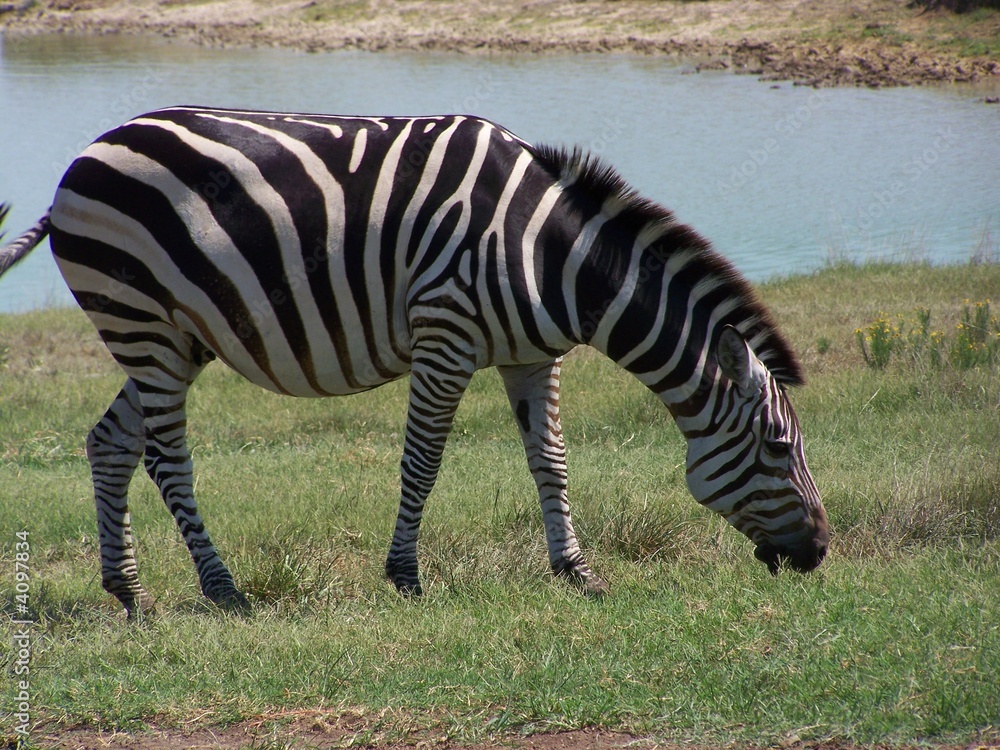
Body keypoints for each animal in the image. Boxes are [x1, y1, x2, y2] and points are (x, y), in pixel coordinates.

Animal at [0, 106, 828, 615]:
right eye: (777, 446)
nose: (820, 553)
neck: (548, 255)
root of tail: (86, 154)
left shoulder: (533, 357)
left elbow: (551, 461)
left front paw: (578, 572)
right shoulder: (445, 335)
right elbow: (422, 462)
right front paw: (405, 577)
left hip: (174, 335)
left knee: (111, 441)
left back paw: (129, 592)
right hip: (141, 319)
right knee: (165, 455)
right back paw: (221, 586)